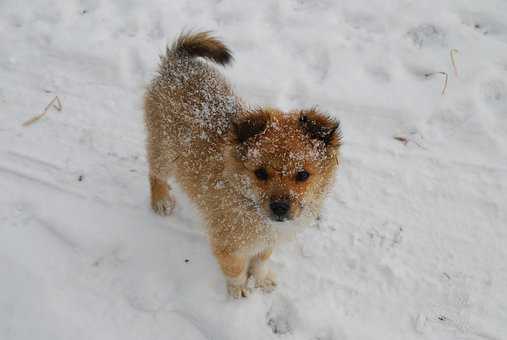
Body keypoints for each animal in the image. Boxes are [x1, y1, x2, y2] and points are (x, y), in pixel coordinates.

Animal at [144, 31, 342, 298]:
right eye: (260, 173)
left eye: (302, 175)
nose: (280, 208)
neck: (246, 198)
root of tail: (178, 63)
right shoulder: (227, 243)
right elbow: (235, 268)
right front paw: (238, 290)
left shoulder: (267, 241)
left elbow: (261, 260)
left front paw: (261, 278)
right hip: (163, 150)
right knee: (155, 173)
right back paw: (161, 200)